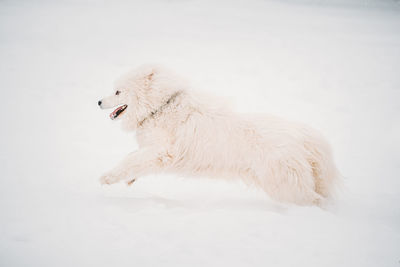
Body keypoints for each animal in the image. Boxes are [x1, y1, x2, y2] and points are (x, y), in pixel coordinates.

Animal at [98, 65, 340, 207]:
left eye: (118, 91)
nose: (98, 101)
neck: (160, 107)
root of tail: (303, 137)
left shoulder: (163, 152)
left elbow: (132, 160)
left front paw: (108, 177)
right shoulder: (152, 151)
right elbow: (133, 158)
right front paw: (129, 178)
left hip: (284, 185)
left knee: (314, 199)